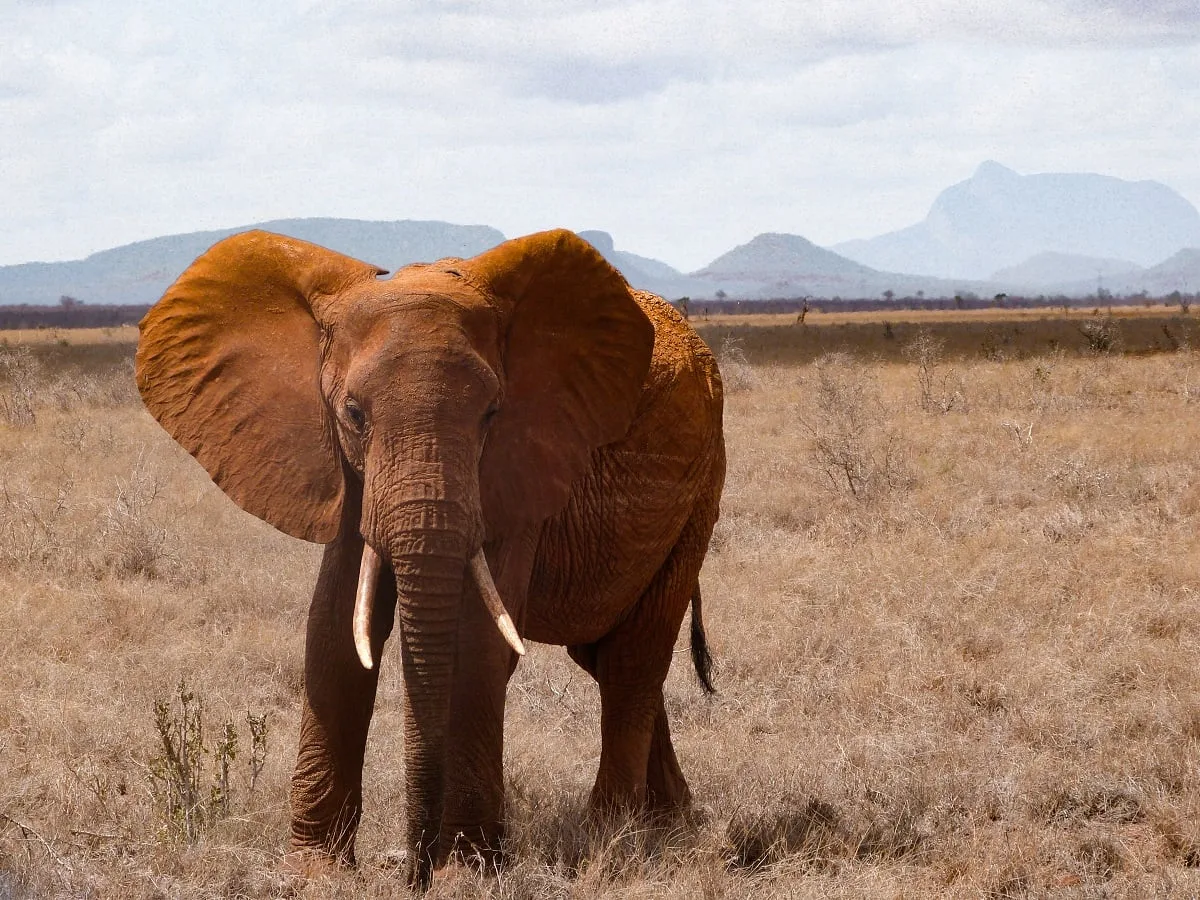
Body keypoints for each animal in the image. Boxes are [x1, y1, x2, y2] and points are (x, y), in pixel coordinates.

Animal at [134, 227, 725, 889]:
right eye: (353, 414)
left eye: (492, 414)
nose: (411, 869)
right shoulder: (348, 471)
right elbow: (335, 627)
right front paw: (317, 873)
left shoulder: (520, 463)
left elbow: (479, 641)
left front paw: (463, 874)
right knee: (604, 655)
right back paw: (671, 821)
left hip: (702, 489)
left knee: (632, 659)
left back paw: (611, 840)